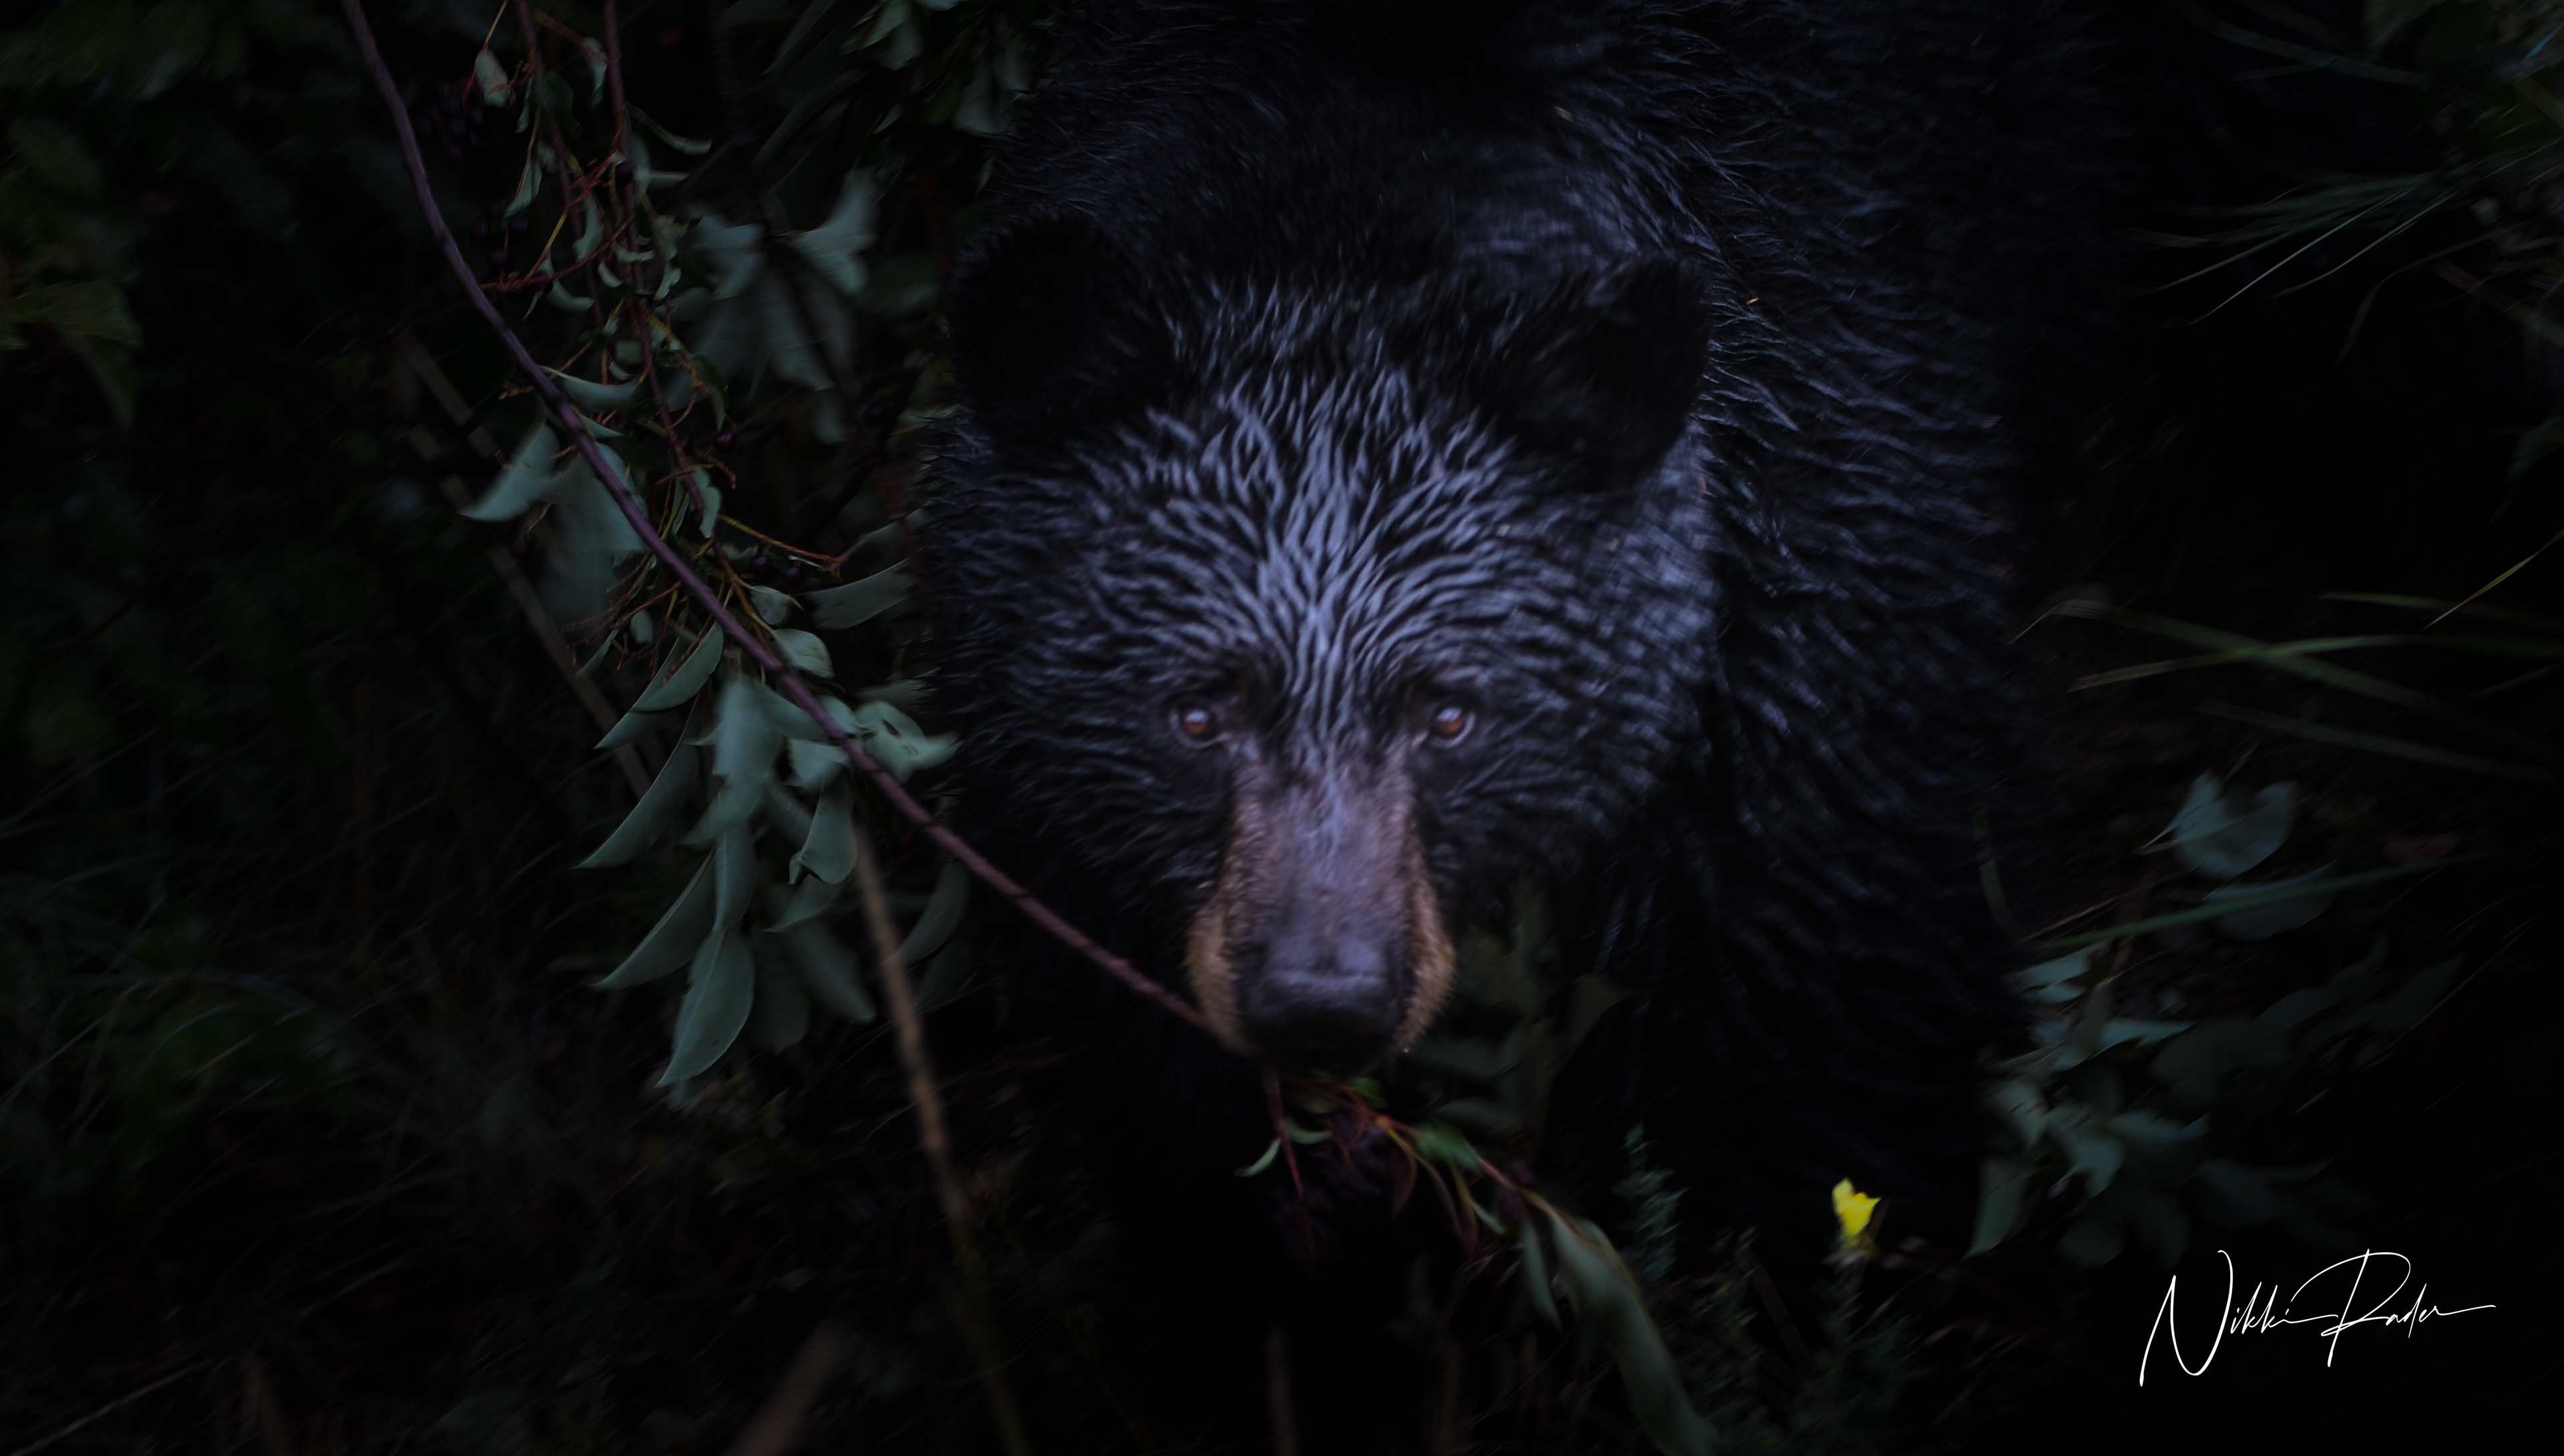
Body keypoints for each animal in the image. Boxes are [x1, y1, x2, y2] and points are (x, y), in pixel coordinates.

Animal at [924, 0, 2121, 1434]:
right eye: (1197, 713)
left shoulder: (1823, 597)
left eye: (1450, 714)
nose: (1320, 998)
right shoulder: (1060, 841)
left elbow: (1833, 1034)